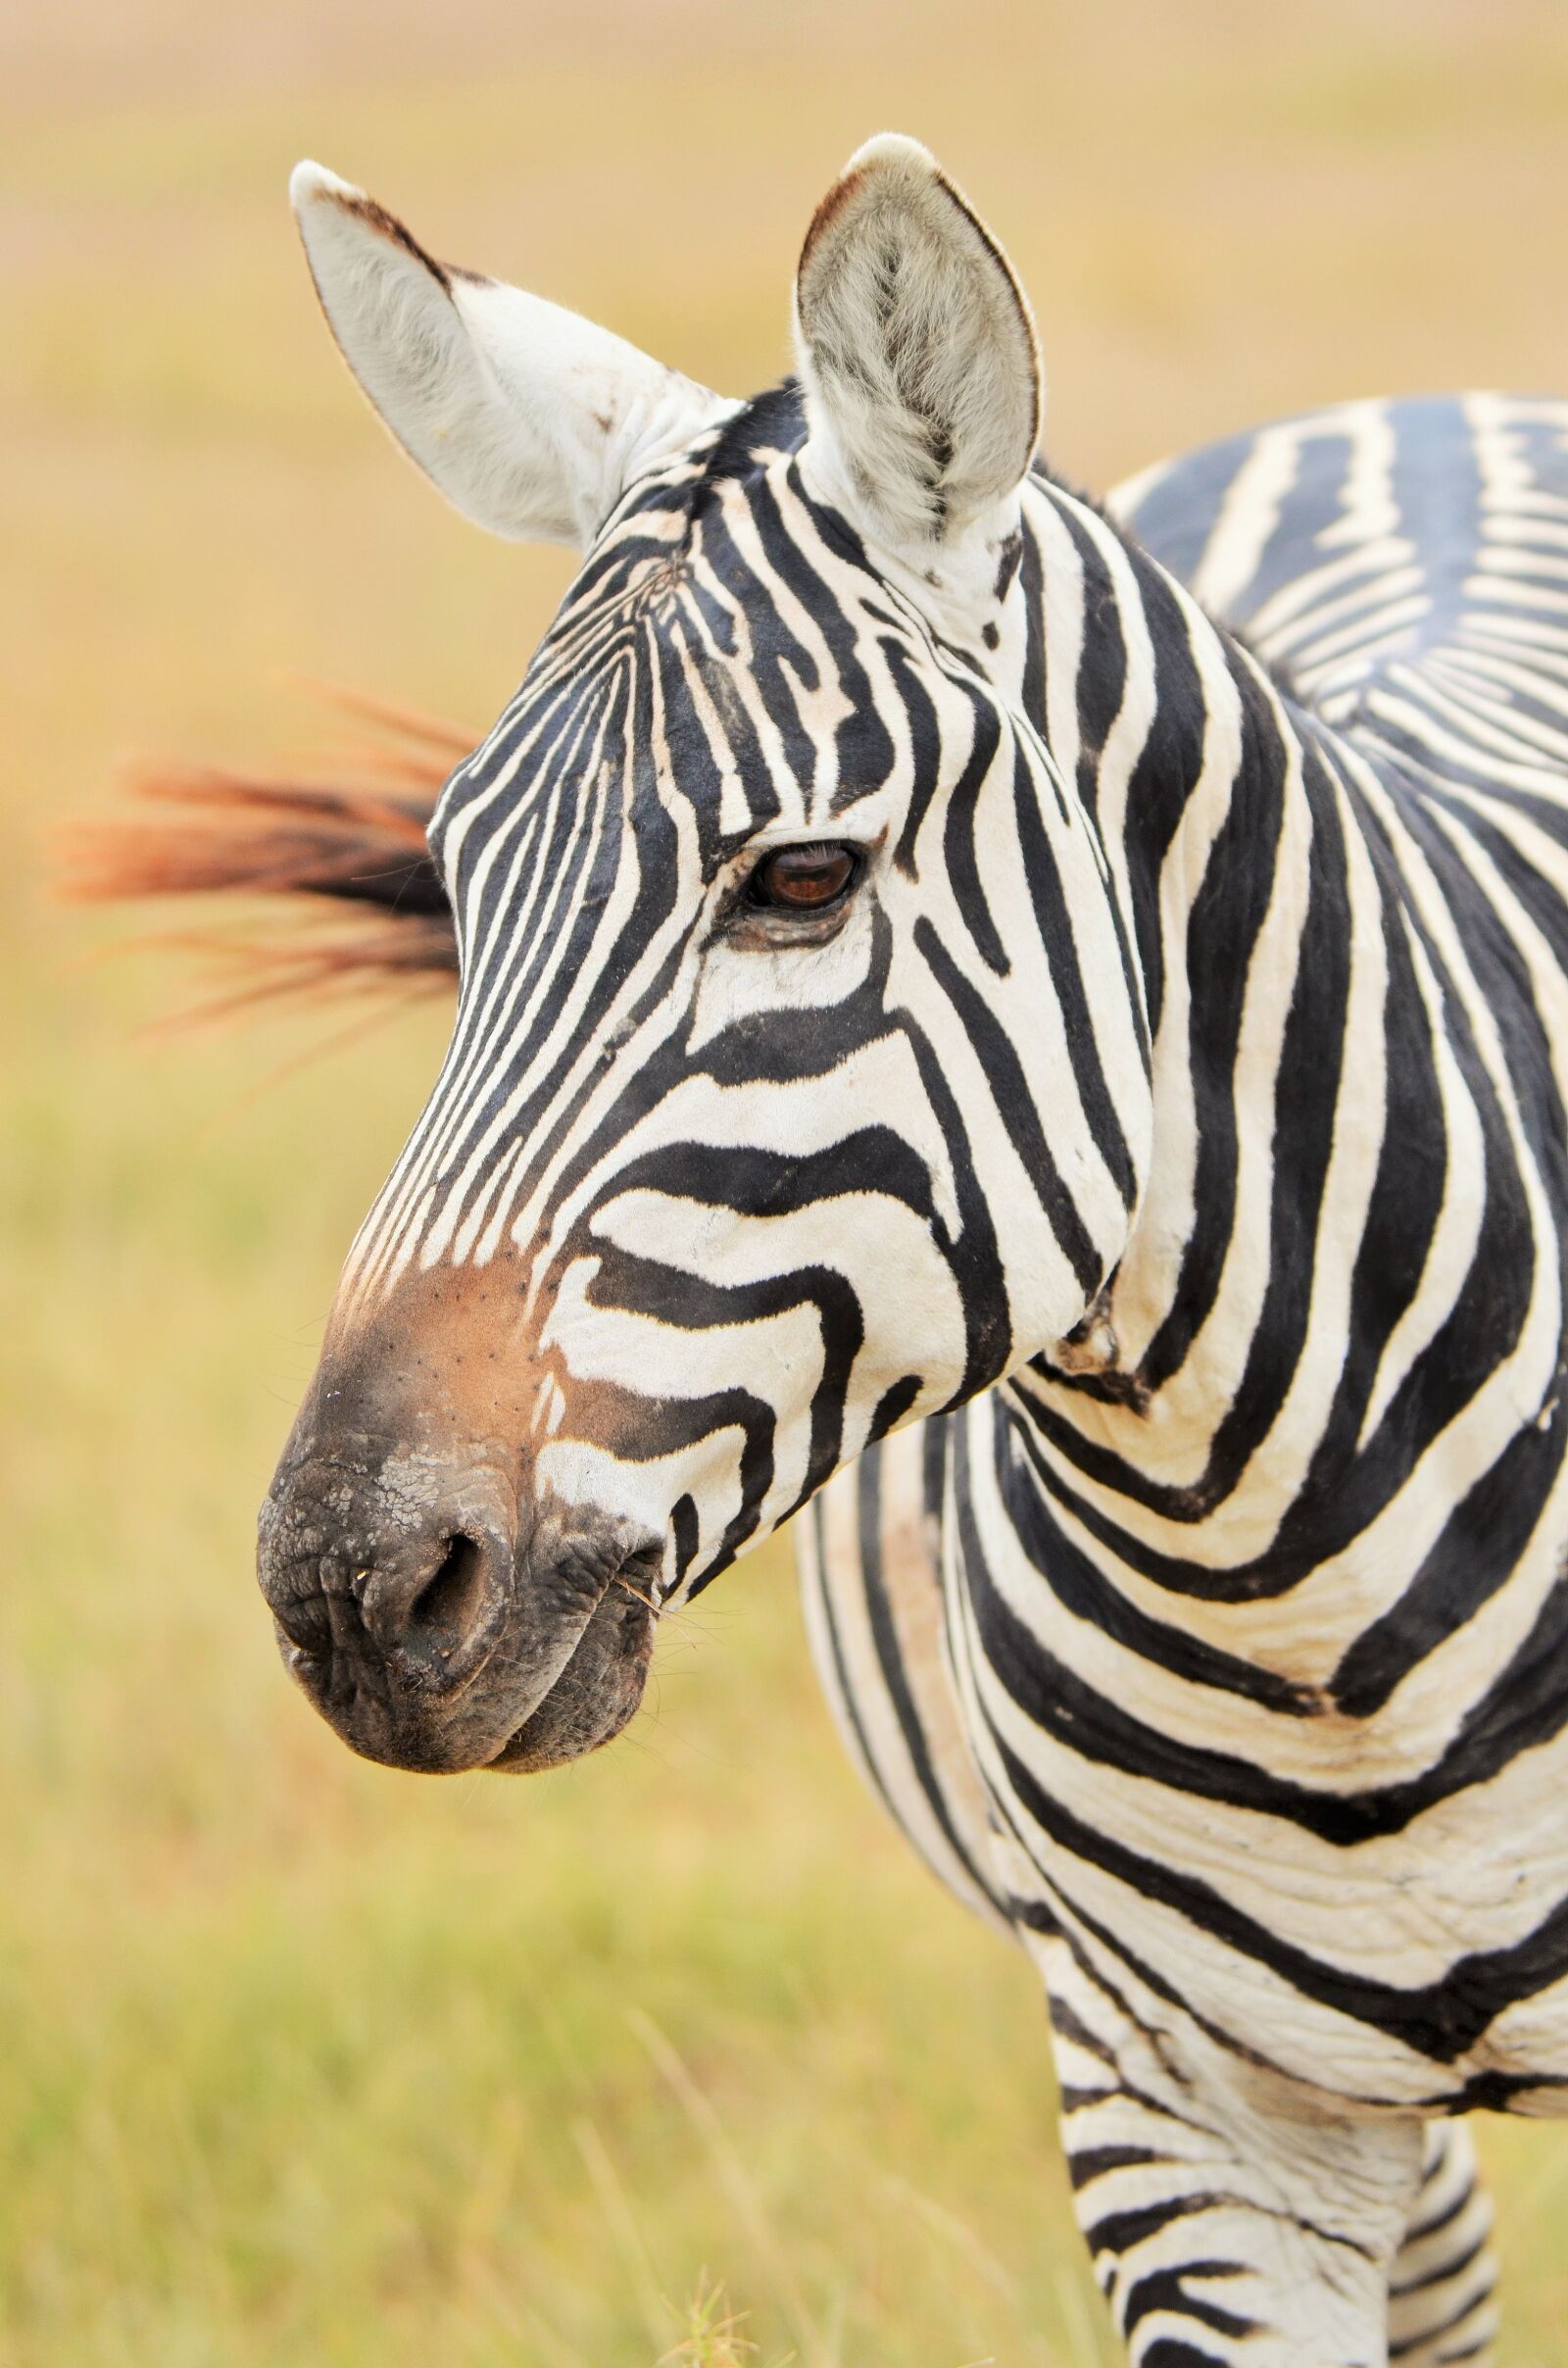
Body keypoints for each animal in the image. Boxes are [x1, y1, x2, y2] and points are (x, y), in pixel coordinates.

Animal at [222, 133, 1568, 2362]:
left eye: (799, 878)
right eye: (456, 880)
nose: (349, 1589)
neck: (1302, 1582)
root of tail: (1422, 413)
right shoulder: (1183, 2111)